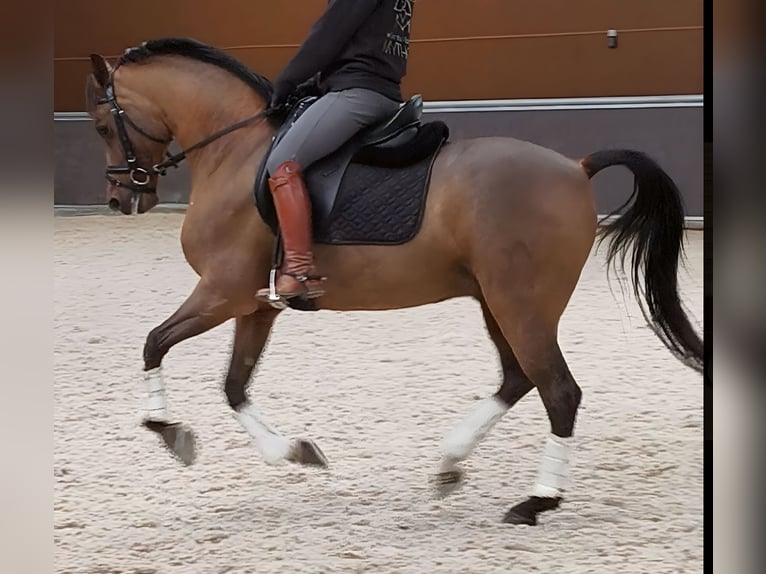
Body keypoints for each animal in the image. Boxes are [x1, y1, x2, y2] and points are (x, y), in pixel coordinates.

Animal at [84, 37, 703, 526]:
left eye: (102, 123)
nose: (121, 199)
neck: (235, 152)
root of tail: (576, 166)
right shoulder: (256, 305)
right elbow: (234, 386)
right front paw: (295, 451)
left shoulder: (222, 293)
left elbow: (154, 343)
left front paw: (168, 430)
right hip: (496, 301)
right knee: (516, 378)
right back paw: (450, 462)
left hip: (520, 304)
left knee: (558, 391)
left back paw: (537, 499)